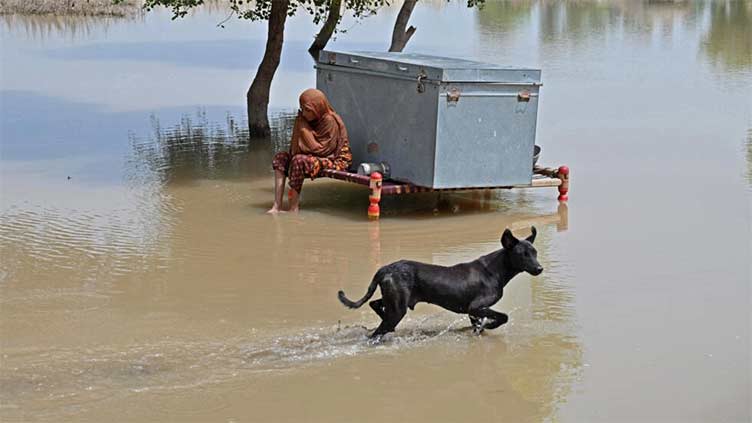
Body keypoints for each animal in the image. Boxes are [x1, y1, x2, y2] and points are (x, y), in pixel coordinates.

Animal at [338, 227, 544, 340]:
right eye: (522, 255)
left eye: (535, 253)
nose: (540, 268)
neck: (495, 270)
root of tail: (385, 268)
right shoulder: (476, 307)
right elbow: (503, 317)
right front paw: (490, 325)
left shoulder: (473, 312)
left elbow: (478, 326)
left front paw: (482, 329)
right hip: (398, 309)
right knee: (378, 331)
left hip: (394, 300)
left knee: (375, 305)